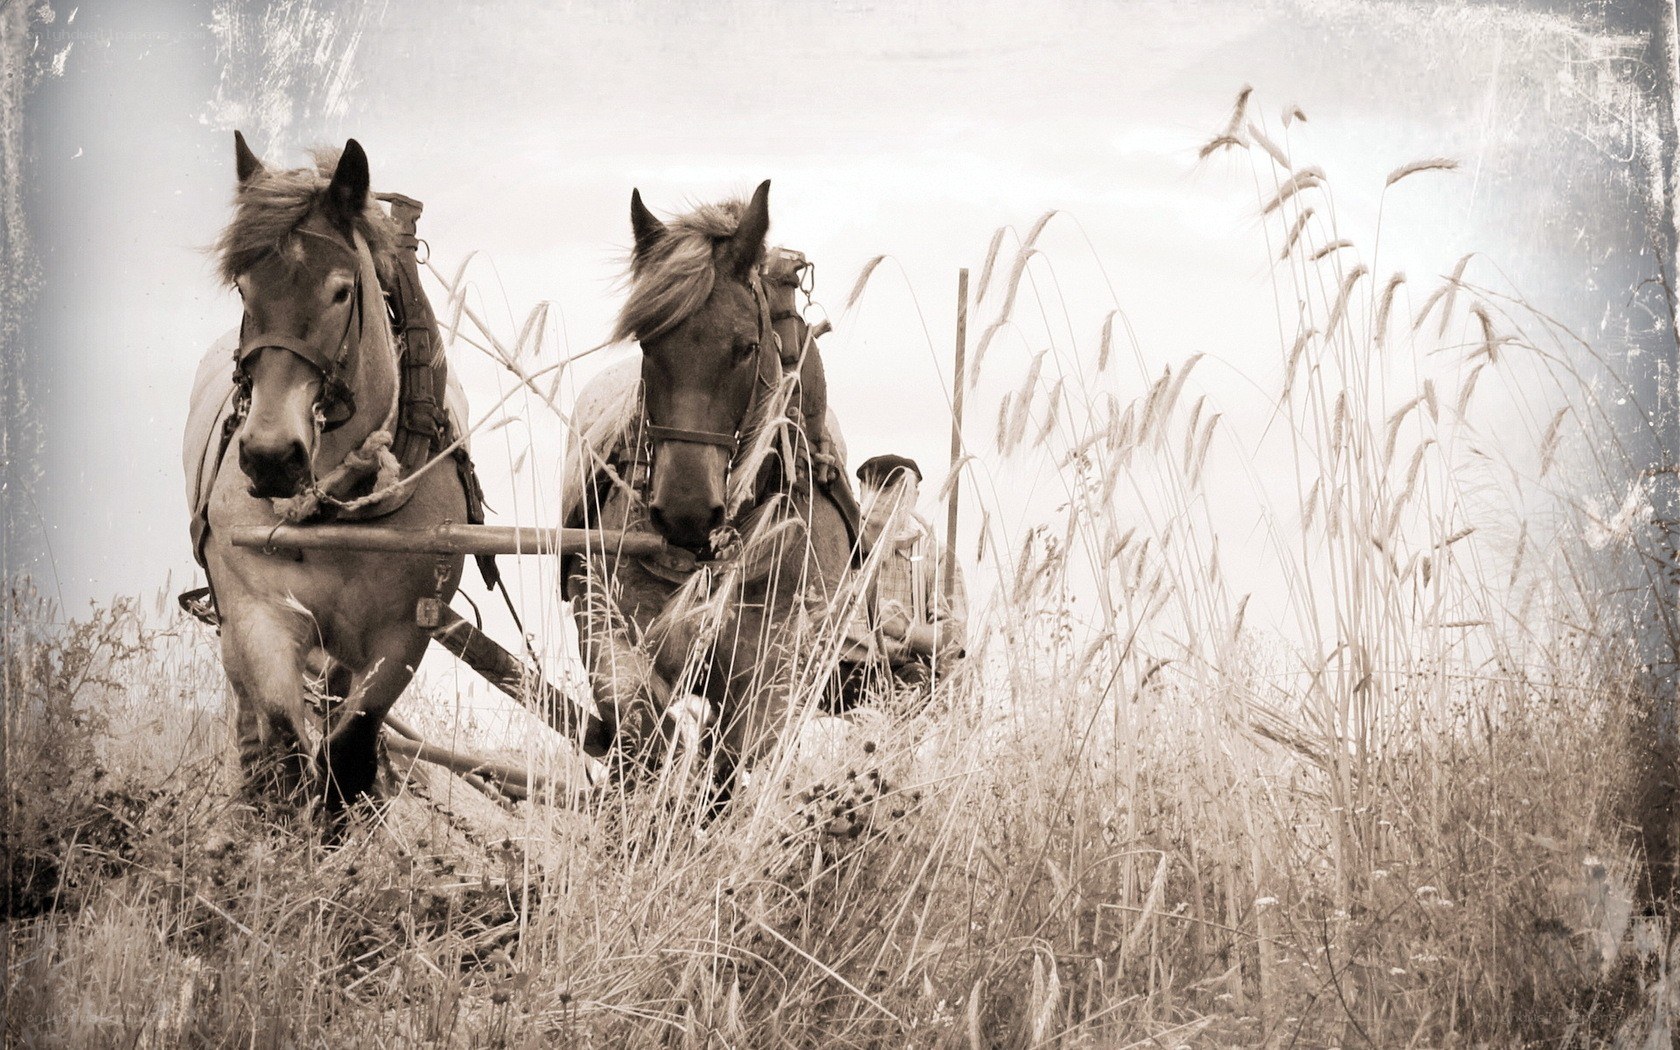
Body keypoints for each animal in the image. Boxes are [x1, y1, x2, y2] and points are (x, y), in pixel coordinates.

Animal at [187, 133, 471, 812]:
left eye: (342, 291)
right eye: (244, 288)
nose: (270, 456)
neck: (336, 509)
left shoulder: (401, 637)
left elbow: (348, 754)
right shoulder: (259, 615)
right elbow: (288, 747)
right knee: (252, 728)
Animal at [561, 181, 859, 795]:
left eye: (746, 347)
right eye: (647, 343)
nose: (686, 512)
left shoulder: (780, 670)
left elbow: (731, 759)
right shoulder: (605, 623)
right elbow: (640, 724)